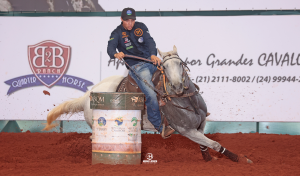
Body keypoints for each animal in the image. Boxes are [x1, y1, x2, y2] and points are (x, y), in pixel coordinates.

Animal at [42, 46, 253, 164]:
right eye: (165, 67)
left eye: (180, 64)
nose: (177, 86)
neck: (187, 100)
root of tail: (87, 95)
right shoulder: (186, 130)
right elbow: (215, 143)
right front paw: (241, 159)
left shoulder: (200, 124)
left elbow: (205, 144)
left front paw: (209, 159)